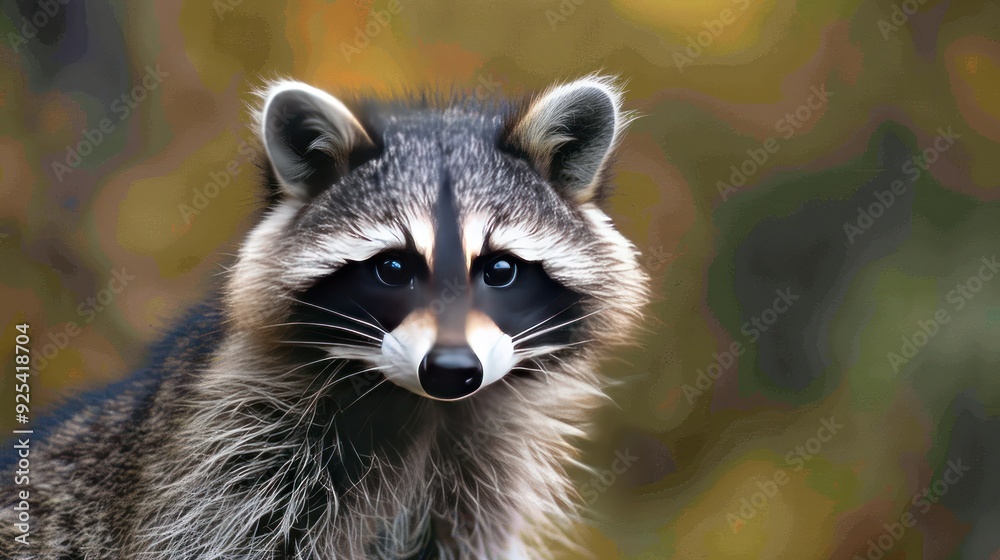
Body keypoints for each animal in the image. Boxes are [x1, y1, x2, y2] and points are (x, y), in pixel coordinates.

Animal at [1, 75, 649, 559]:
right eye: (393, 267)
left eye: (501, 270)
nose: (450, 371)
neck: (424, 410)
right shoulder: (231, 466)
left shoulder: (475, 489)